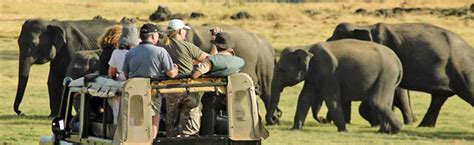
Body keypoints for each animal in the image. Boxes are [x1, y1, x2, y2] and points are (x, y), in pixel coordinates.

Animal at [268, 45, 416, 127]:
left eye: (281, 70)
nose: (275, 119)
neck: (306, 47)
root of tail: (398, 62)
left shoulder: (327, 71)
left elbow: (331, 99)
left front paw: (343, 130)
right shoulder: (312, 76)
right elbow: (304, 98)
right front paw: (295, 128)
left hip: (386, 75)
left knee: (377, 101)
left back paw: (398, 128)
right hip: (389, 79)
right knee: (386, 102)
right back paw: (385, 131)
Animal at [328, 22, 474, 127]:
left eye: (337, 40)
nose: (325, 120)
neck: (364, 26)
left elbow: (396, 90)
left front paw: (378, 122)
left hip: (462, 69)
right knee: (438, 98)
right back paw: (423, 126)